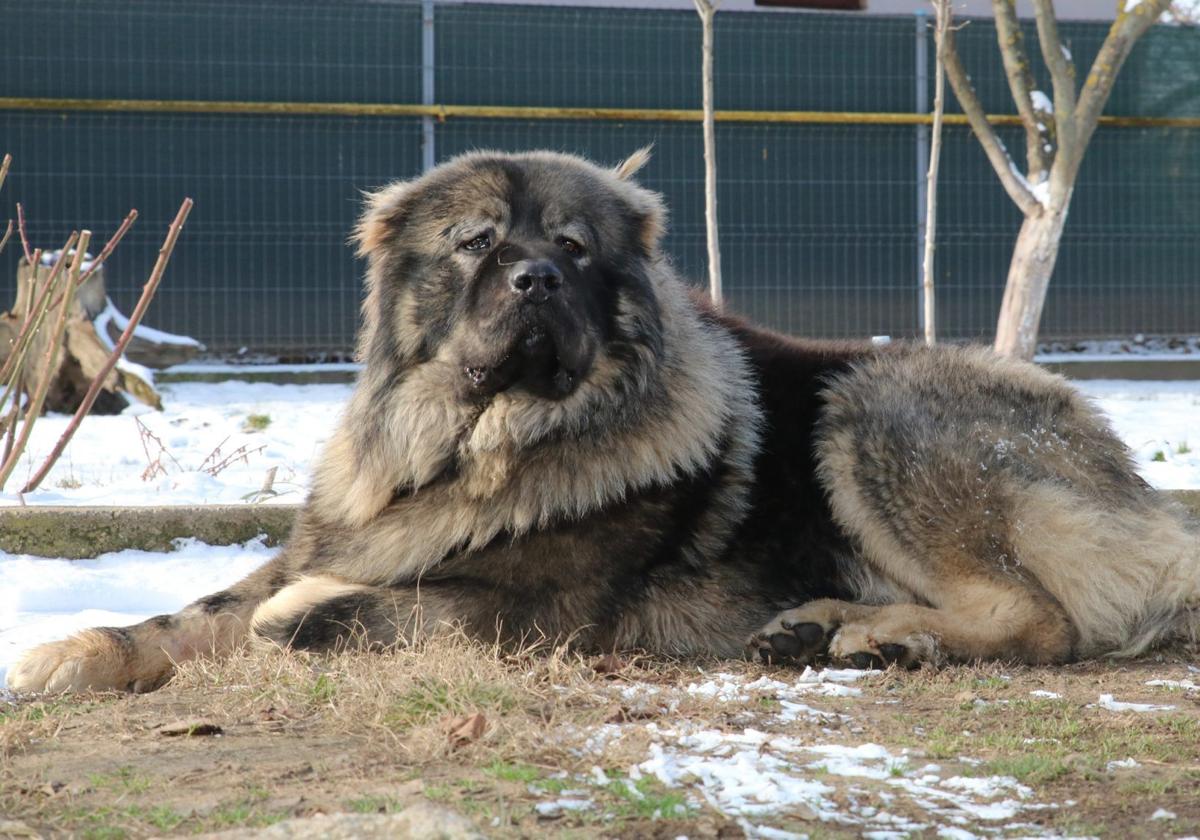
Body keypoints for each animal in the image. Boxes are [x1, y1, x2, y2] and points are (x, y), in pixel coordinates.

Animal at [11, 152, 1200, 696]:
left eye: (575, 249)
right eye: (479, 242)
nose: (535, 278)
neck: (470, 446)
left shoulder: (535, 614)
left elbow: (336, 612)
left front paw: (292, 619)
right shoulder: (331, 537)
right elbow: (191, 614)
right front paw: (68, 651)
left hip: (873, 410)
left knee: (1039, 617)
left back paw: (884, 634)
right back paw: (818, 627)